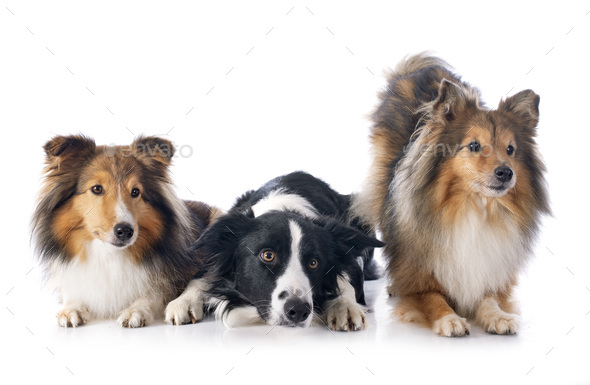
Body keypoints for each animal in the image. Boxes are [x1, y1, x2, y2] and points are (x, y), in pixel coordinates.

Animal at [32, 135, 222, 328]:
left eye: (135, 191)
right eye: (96, 188)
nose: (125, 231)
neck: (109, 254)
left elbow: (159, 290)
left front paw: (135, 310)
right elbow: (71, 291)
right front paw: (71, 308)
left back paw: (184, 305)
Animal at [164, 171, 386, 330]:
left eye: (314, 262)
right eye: (268, 255)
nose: (298, 310)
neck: (283, 208)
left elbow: (344, 281)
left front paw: (344, 307)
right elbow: (201, 277)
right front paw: (183, 302)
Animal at [356, 54, 556, 336]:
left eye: (510, 149)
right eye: (473, 145)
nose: (506, 173)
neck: (475, 209)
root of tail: (419, 68)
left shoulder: (490, 270)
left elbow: (489, 298)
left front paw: (498, 316)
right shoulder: (420, 277)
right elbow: (432, 297)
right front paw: (449, 318)